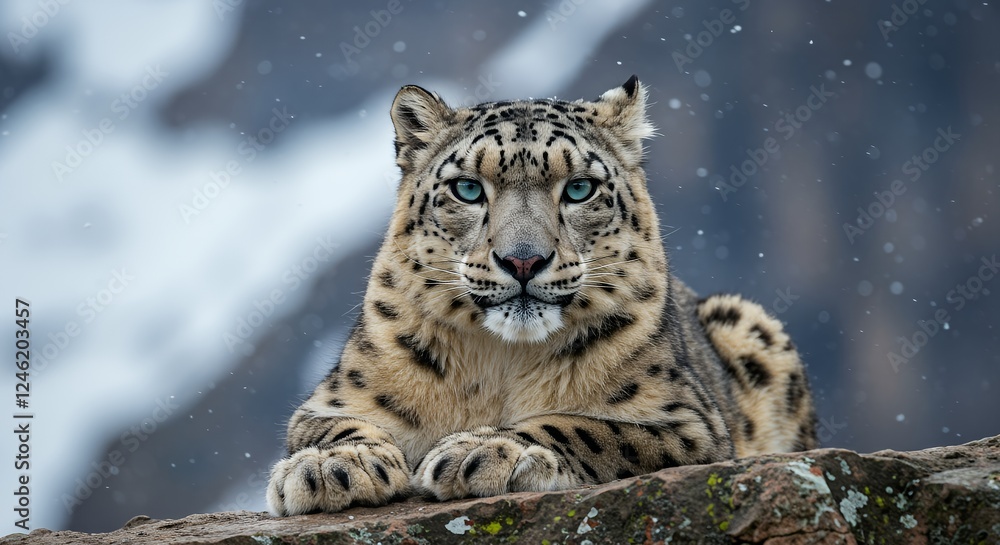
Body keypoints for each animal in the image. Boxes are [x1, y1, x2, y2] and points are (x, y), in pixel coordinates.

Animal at [266, 76, 817, 516]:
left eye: (579, 189)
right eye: (468, 188)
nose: (524, 260)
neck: (500, 365)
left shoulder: (685, 422)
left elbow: (586, 426)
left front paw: (481, 450)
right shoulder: (333, 399)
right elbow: (331, 426)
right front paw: (332, 467)